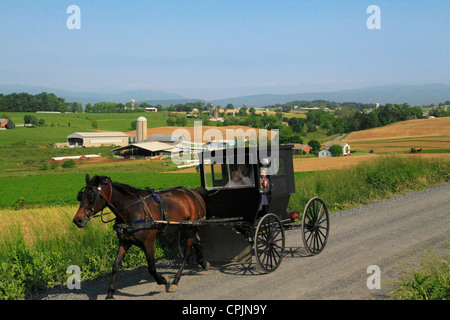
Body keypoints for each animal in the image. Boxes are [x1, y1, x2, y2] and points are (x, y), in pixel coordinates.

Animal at [72, 174, 209, 298]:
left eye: (91, 197)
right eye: (80, 196)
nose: (77, 220)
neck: (134, 210)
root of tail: (194, 192)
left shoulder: (148, 243)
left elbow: (152, 268)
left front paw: (163, 280)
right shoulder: (125, 242)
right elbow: (116, 265)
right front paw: (110, 294)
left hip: (190, 228)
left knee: (187, 254)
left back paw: (175, 281)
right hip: (186, 227)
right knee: (196, 242)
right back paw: (203, 262)